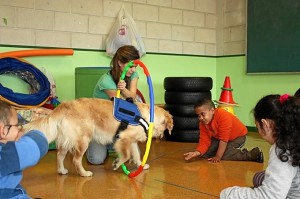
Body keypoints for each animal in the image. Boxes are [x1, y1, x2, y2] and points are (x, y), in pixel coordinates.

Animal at [23, 97, 173, 176]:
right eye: (165, 126)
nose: (161, 136)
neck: (146, 117)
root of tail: (64, 105)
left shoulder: (132, 141)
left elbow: (135, 155)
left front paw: (141, 165)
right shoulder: (123, 138)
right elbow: (126, 155)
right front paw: (116, 164)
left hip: (67, 140)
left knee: (59, 155)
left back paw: (62, 170)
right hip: (83, 140)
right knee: (76, 160)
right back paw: (84, 173)